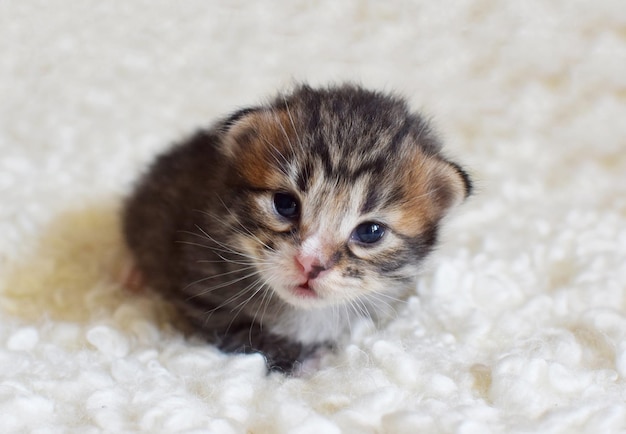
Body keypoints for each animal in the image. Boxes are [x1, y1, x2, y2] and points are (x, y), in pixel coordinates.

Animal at [124, 83, 470, 372]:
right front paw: (308, 358)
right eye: (285, 204)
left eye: (370, 232)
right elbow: (243, 333)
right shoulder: (203, 288)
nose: (311, 264)